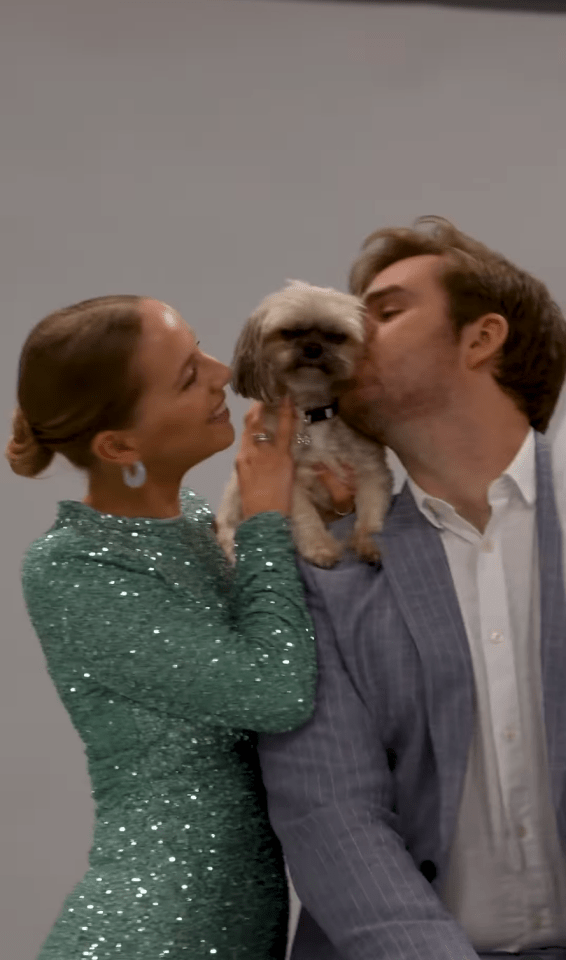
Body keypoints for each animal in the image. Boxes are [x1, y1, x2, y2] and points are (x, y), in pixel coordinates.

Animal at [216, 282, 394, 568]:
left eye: (337, 336)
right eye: (290, 333)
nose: (312, 347)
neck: (313, 412)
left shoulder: (371, 471)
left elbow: (371, 515)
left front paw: (367, 543)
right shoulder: (290, 482)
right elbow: (305, 518)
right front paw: (320, 548)